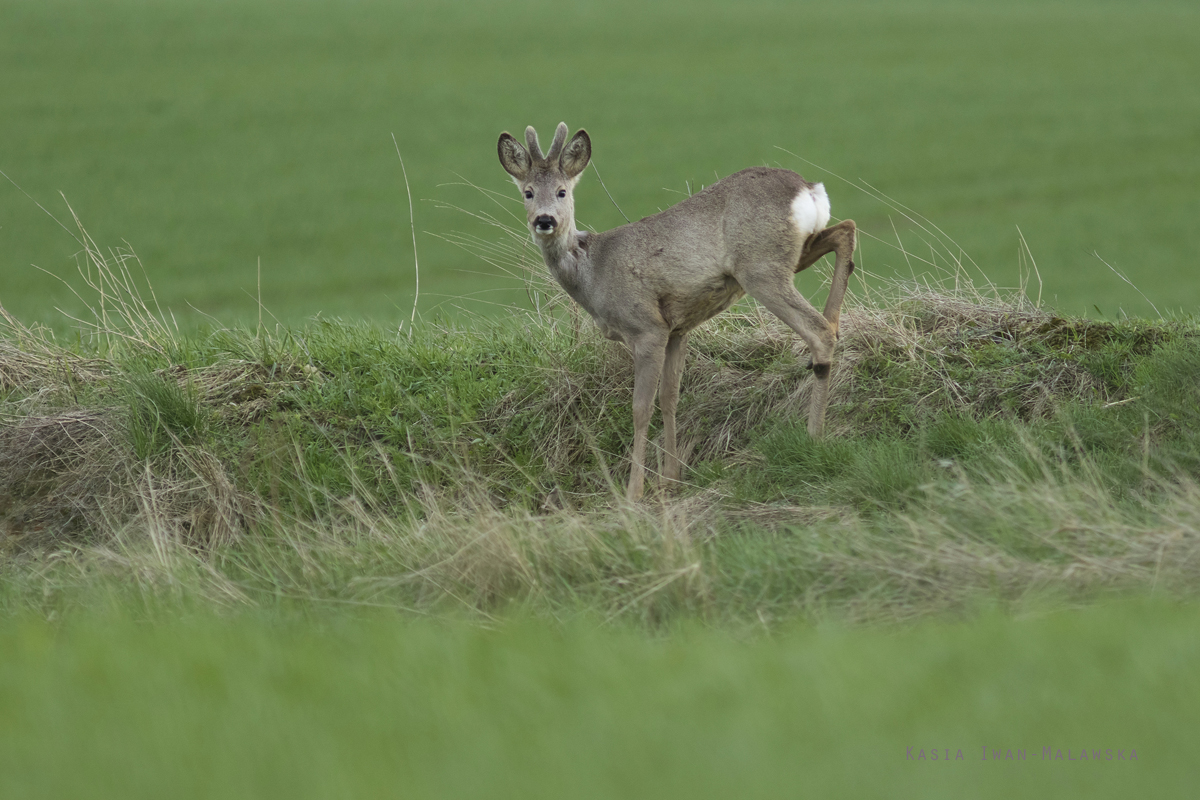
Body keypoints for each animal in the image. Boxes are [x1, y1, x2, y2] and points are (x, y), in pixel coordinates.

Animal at [496, 122, 854, 501]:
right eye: (528, 192)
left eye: (562, 191)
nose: (544, 220)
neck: (592, 271)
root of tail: (808, 190)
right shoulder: (677, 329)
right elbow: (670, 397)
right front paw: (670, 479)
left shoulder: (646, 328)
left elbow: (641, 408)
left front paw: (634, 491)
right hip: (795, 252)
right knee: (845, 230)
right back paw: (835, 320)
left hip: (761, 267)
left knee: (818, 330)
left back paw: (814, 435)